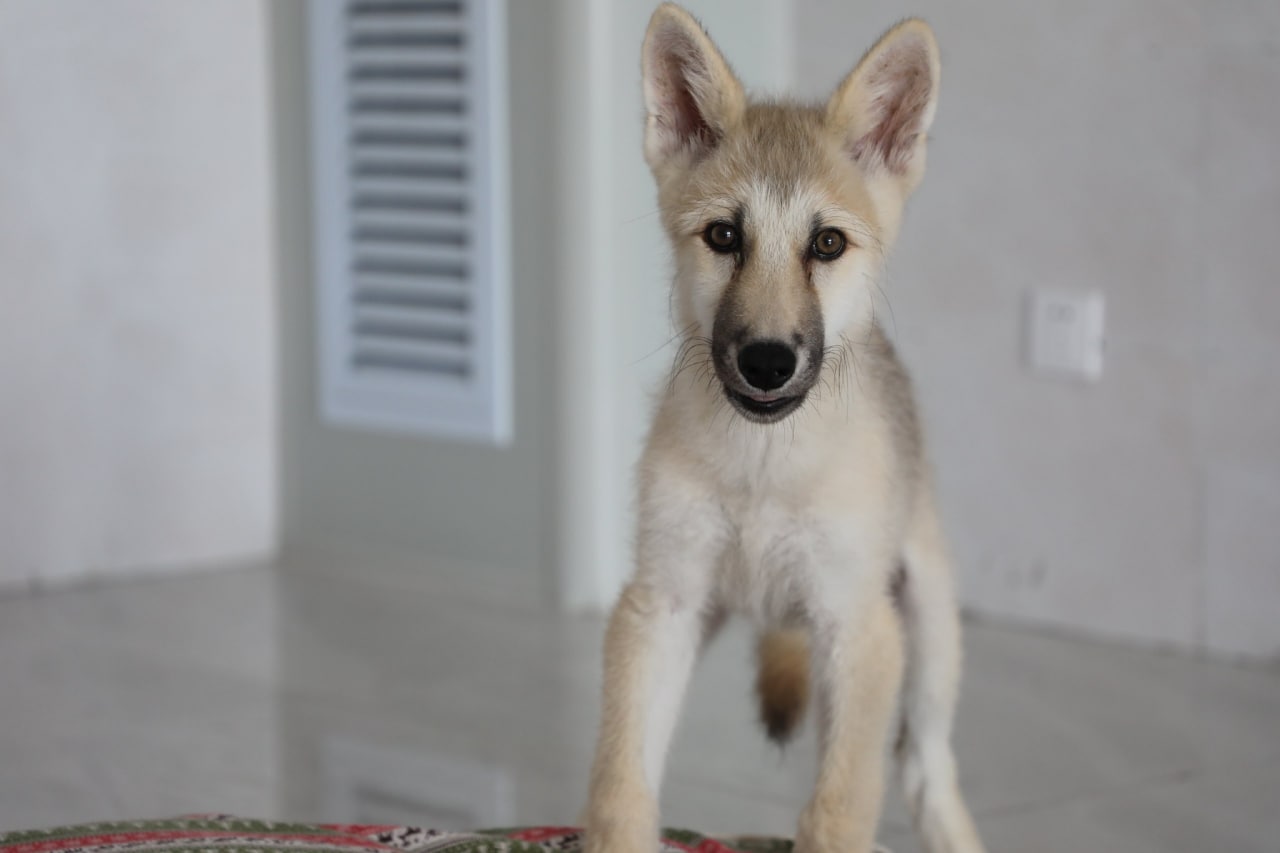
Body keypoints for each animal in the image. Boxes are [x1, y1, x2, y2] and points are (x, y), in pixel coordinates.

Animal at [583, 5, 986, 853]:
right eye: (724, 238)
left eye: (826, 243)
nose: (767, 362)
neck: (762, 468)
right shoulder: (660, 605)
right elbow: (620, 790)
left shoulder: (857, 628)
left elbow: (837, 810)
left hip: (927, 631)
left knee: (925, 769)